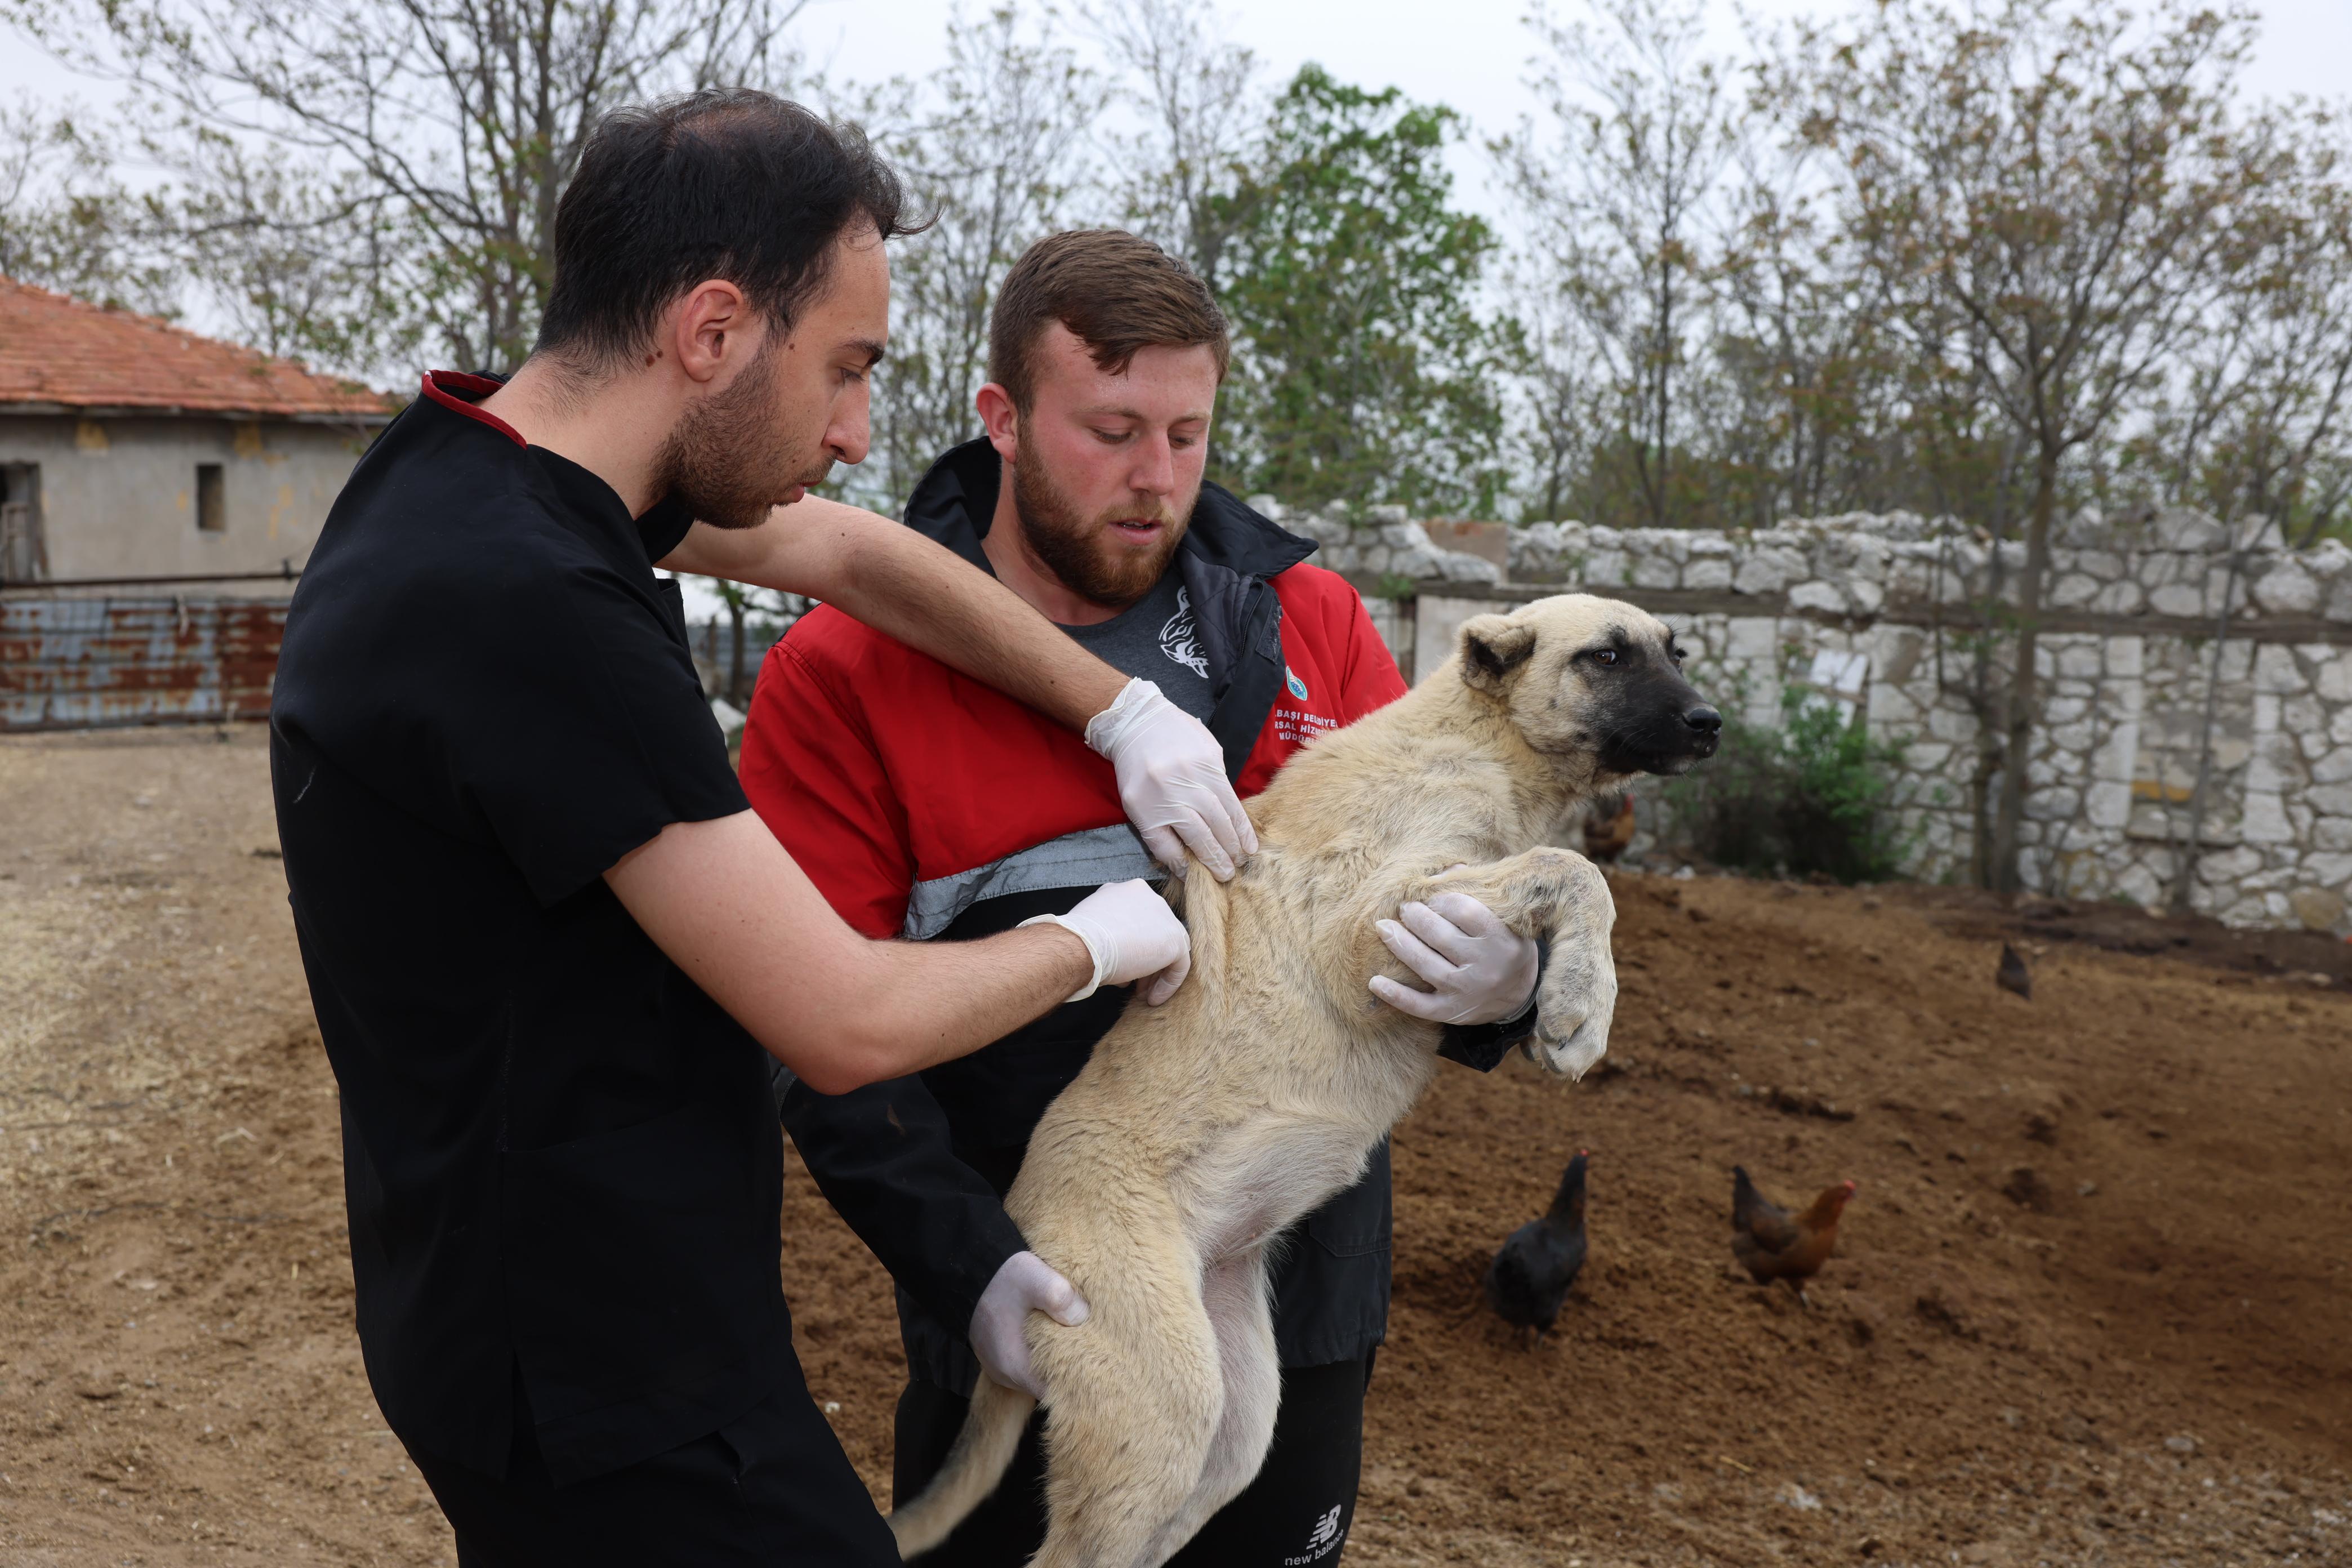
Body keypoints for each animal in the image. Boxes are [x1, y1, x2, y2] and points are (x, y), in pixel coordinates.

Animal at [889, 595, 1721, 1561]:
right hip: (1160, 1404)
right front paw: (1583, 1009)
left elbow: (1557, 877)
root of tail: (1018, 1240)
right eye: (1607, 656)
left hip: (1235, 1418)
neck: (1481, 740)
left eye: (1675, 650)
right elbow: (1575, 870)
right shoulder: (1363, 926)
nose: (1712, 724)